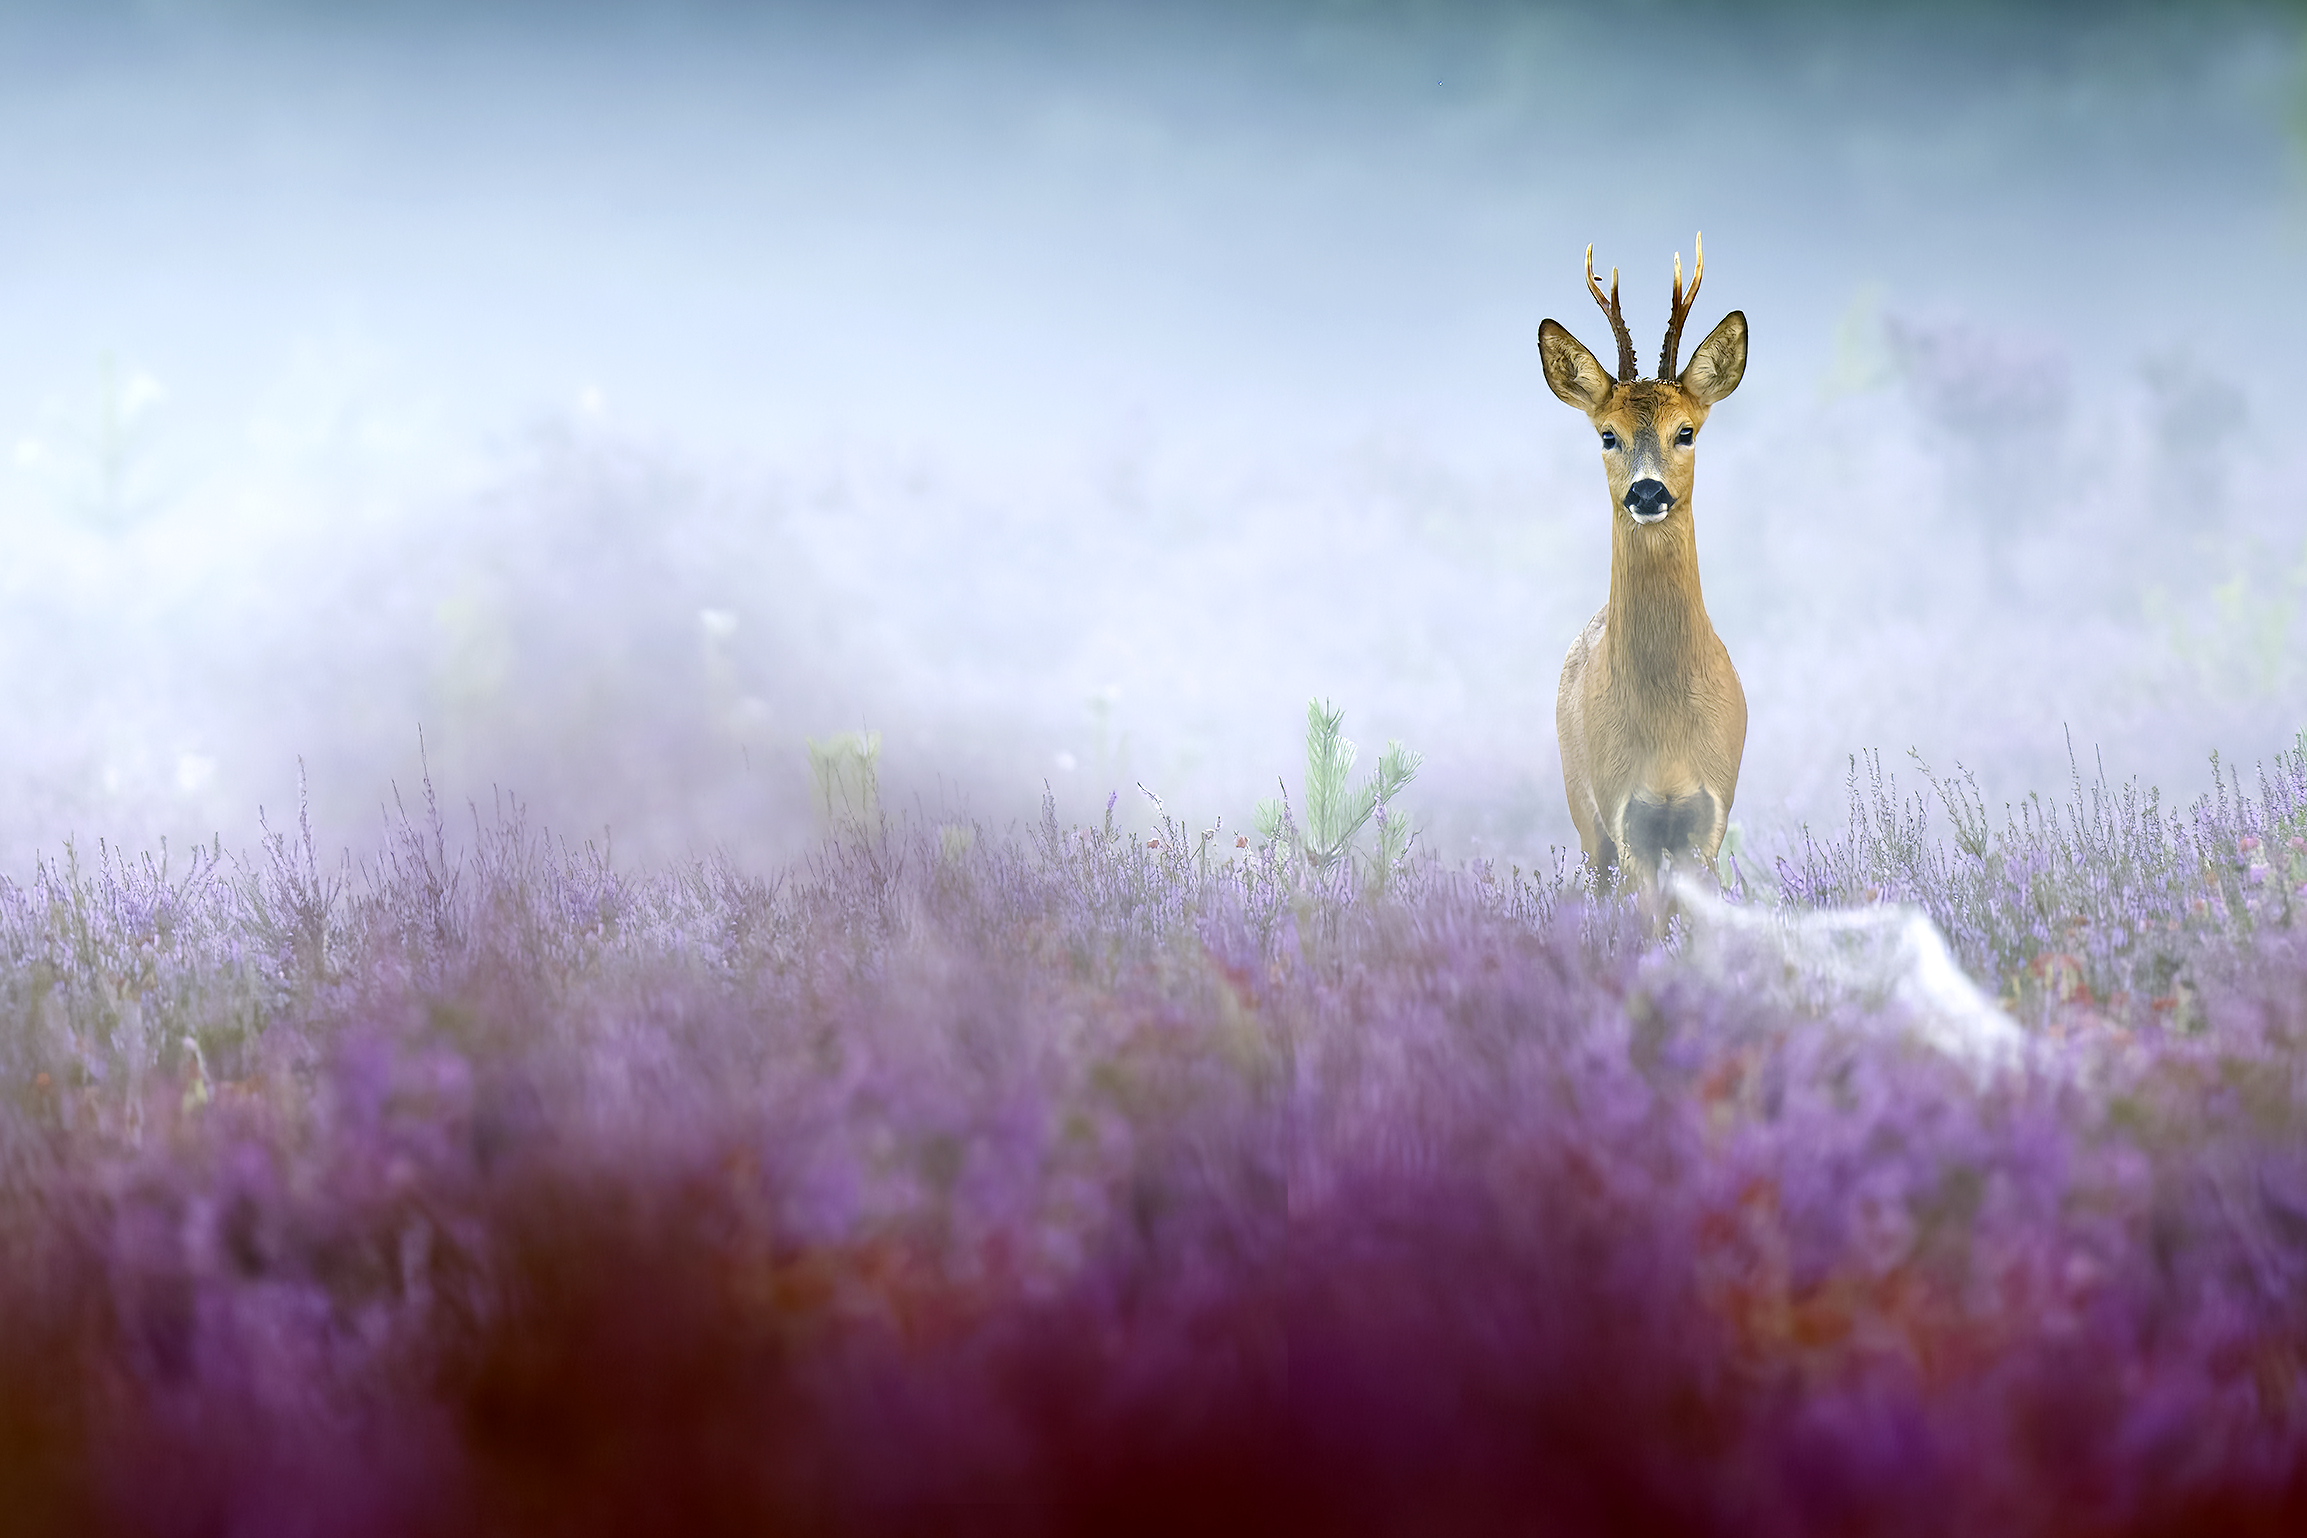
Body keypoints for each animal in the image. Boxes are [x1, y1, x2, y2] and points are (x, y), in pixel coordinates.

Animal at [1539, 235, 1748, 895]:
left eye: (1686, 431)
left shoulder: (1710, 819)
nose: (1648, 491)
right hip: (1584, 814)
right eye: (1608, 435)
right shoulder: (1623, 816)